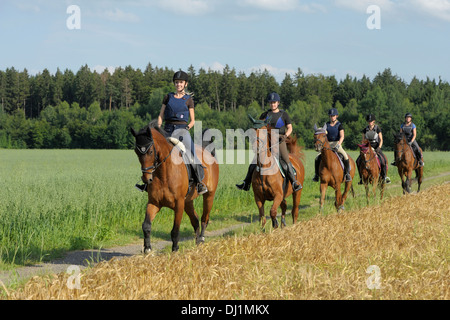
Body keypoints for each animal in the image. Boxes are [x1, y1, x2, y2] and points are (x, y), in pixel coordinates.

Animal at [130, 122, 220, 252]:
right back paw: (197, 242)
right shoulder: (154, 203)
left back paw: (202, 239)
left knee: (204, 219)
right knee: (195, 220)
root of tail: (208, 152)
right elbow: (146, 225)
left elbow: (175, 230)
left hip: (209, 196)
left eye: (150, 151)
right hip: (188, 201)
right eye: (136, 152)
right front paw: (147, 249)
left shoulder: (179, 204)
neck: (164, 174)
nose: (146, 179)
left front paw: (175, 250)